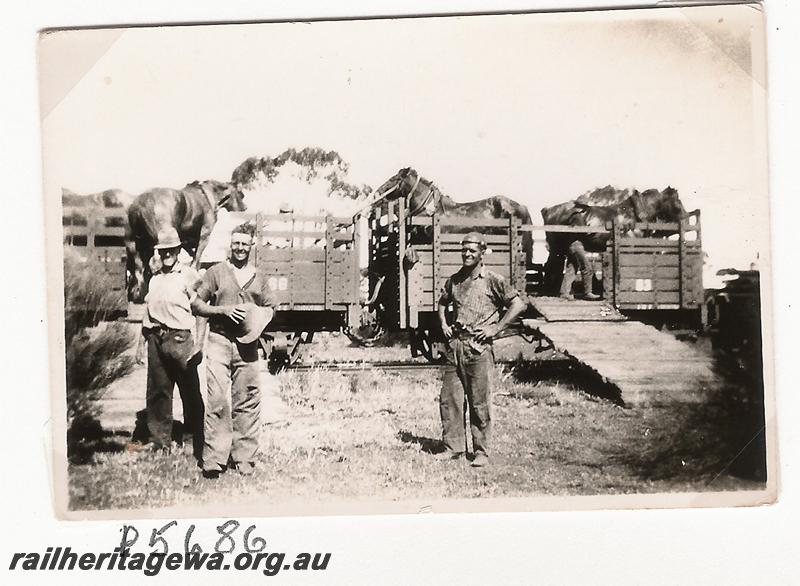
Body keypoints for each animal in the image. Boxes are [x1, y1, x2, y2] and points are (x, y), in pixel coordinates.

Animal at [540, 186, 692, 294]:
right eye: (677, 202)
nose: (687, 220)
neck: (633, 215)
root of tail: (548, 209)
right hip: (556, 248)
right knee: (550, 266)